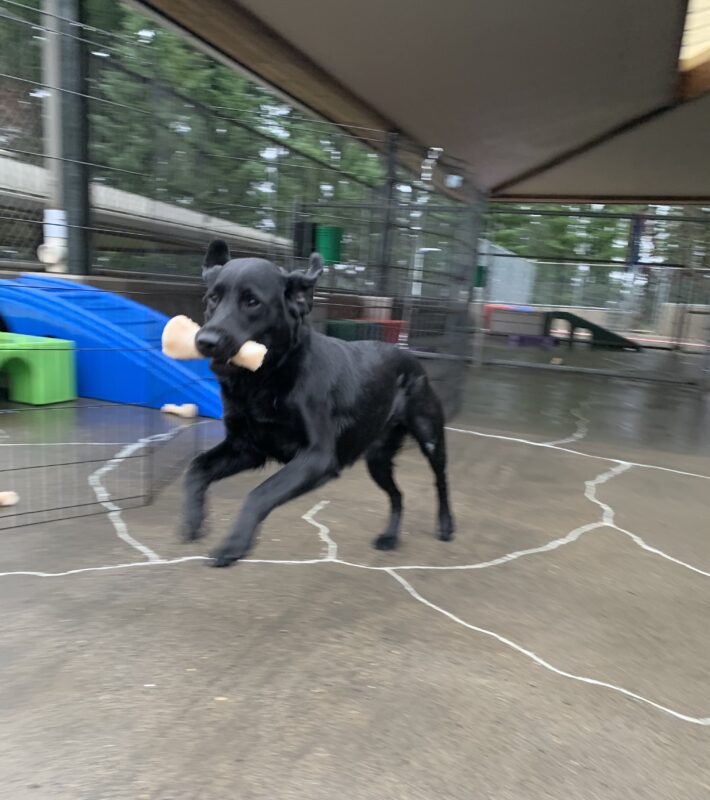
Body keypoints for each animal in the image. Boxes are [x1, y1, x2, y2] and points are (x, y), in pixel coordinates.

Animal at [181, 241, 454, 564]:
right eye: (213, 298)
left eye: (252, 301)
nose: (206, 340)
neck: (264, 379)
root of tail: (410, 357)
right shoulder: (247, 447)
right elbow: (196, 467)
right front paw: (193, 520)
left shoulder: (318, 456)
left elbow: (260, 493)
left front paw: (234, 543)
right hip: (377, 459)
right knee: (398, 495)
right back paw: (389, 537)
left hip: (430, 438)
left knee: (441, 482)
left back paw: (446, 525)